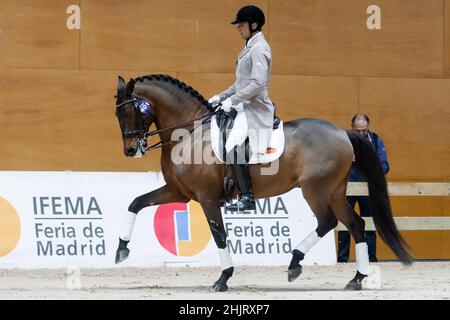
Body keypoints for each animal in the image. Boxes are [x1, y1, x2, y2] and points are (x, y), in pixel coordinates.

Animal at [114, 74, 414, 292]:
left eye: (128, 111)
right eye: (118, 115)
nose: (130, 150)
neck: (190, 134)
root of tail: (343, 132)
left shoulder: (207, 198)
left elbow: (219, 236)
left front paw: (223, 278)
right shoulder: (178, 192)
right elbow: (135, 203)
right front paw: (121, 249)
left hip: (315, 190)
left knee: (328, 222)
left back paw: (295, 262)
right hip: (335, 192)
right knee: (356, 224)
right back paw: (356, 278)